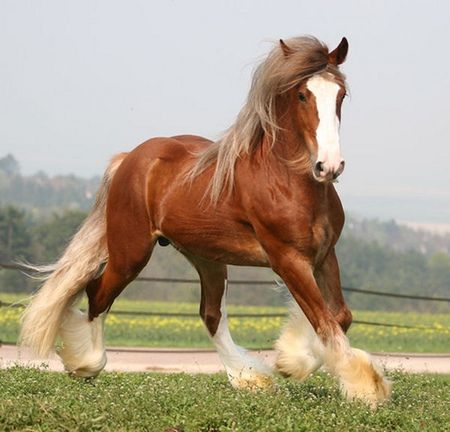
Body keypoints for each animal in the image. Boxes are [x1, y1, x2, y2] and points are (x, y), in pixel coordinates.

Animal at [20, 35, 390, 406]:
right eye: (303, 94)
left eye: (340, 94)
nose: (329, 166)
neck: (288, 181)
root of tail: (130, 158)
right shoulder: (288, 260)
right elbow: (324, 320)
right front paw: (365, 386)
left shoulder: (325, 255)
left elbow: (339, 316)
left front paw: (291, 360)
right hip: (131, 251)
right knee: (98, 293)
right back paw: (86, 363)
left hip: (206, 257)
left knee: (210, 315)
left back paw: (251, 379)